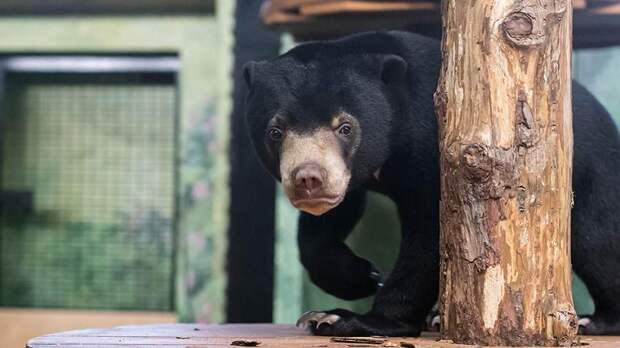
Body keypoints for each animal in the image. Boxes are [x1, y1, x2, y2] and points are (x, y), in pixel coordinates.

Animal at [241, 30, 620, 338]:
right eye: (275, 131)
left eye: (345, 127)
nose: (308, 178)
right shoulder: (353, 178)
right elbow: (329, 221)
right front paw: (358, 277)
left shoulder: (437, 146)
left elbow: (432, 234)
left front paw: (347, 319)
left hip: (593, 173)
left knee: (597, 241)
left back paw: (595, 320)